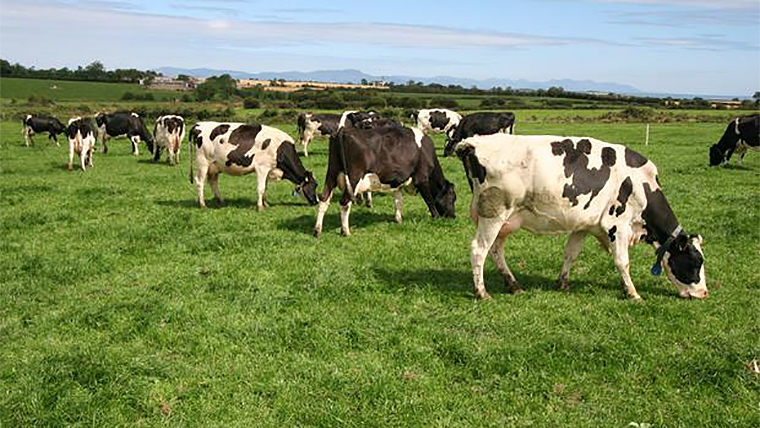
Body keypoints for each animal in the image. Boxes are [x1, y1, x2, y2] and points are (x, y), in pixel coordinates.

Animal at [191, 122, 320, 211]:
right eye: (313, 185)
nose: (317, 201)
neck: (280, 149)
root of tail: (198, 124)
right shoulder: (262, 168)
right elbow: (261, 188)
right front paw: (260, 207)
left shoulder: (268, 169)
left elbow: (265, 188)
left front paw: (266, 203)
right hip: (202, 163)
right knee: (199, 182)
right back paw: (202, 205)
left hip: (214, 166)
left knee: (213, 182)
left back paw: (220, 201)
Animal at [312, 123, 454, 237]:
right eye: (452, 197)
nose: (453, 216)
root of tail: (343, 130)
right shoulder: (421, 178)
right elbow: (429, 200)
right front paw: (436, 217)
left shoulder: (397, 182)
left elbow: (398, 201)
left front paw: (399, 219)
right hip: (353, 178)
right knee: (344, 203)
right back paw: (346, 231)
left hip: (331, 174)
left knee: (324, 199)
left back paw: (317, 231)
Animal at [454, 134, 708, 300]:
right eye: (696, 262)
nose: (704, 293)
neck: (640, 183)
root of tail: (473, 142)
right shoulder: (617, 226)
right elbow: (622, 261)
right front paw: (633, 293)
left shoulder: (584, 225)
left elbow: (571, 253)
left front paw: (563, 282)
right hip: (494, 214)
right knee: (479, 249)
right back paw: (482, 292)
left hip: (506, 220)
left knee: (496, 250)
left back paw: (513, 285)